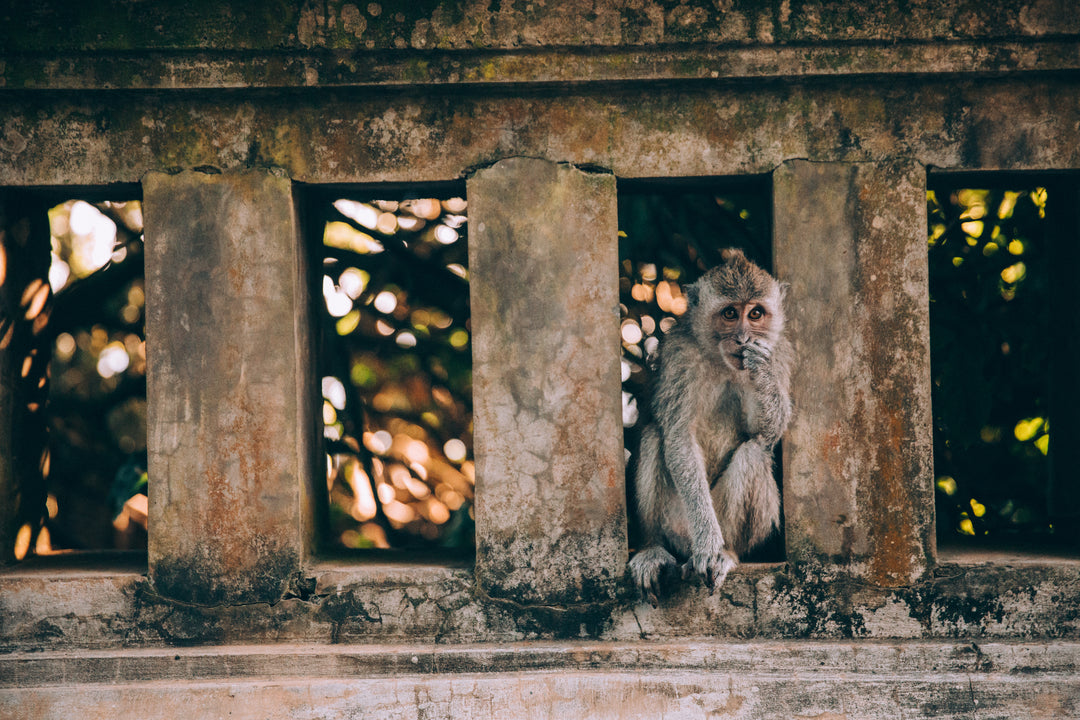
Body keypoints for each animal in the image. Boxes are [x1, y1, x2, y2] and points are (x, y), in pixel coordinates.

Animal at [628, 248, 792, 605]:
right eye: (730, 313)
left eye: (755, 313)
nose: (743, 339)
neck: (721, 360)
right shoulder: (679, 356)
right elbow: (678, 437)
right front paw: (707, 543)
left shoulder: (779, 354)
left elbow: (763, 433)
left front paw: (759, 371)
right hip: (677, 523)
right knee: (654, 437)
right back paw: (655, 548)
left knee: (753, 453)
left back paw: (728, 553)